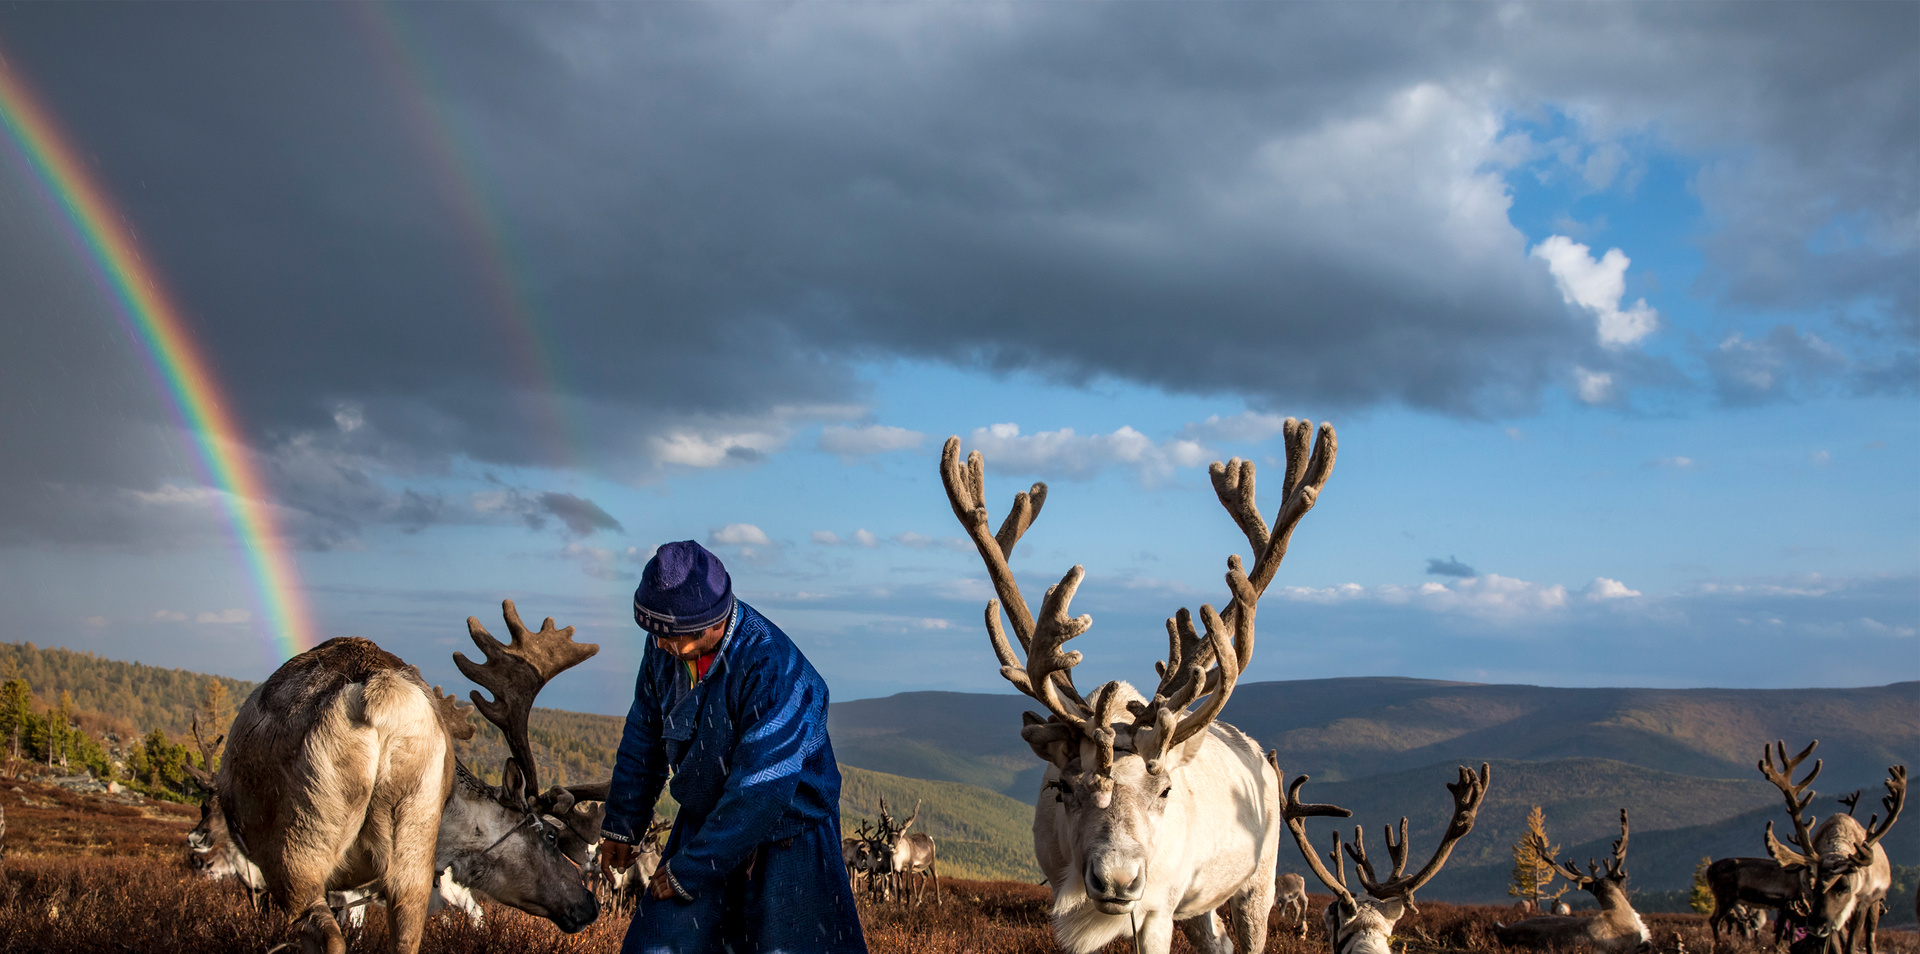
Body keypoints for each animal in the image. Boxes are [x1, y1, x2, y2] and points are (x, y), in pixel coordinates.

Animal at [215, 601, 601, 954]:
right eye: (550, 836)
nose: (590, 903)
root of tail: (379, 697)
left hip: (298, 849)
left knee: (329, 937)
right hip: (409, 839)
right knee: (403, 939)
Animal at [940, 418, 1337, 954]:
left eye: (1165, 789)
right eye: (1063, 787)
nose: (1117, 879)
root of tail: (1257, 753)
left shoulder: (1157, 908)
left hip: (1259, 879)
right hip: (1200, 901)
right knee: (1217, 941)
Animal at [1757, 740, 1906, 954]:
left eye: (1844, 887)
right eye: (1812, 886)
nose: (1815, 926)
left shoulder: (1861, 903)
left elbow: (1851, 945)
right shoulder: (1825, 916)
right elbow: (1835, 946)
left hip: (1875, 903)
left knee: (1871, 939)